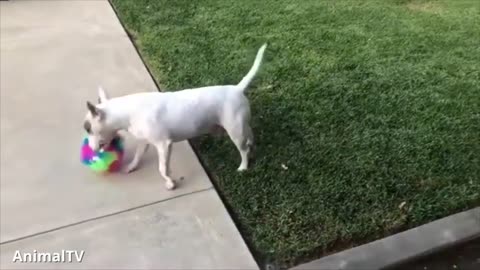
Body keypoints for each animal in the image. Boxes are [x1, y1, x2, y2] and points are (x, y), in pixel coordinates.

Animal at [84, 43, 268, 190]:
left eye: (88, 129)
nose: (91, 151)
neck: (127, 112)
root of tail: (237, 89)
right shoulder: (144, 142)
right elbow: (137, 156)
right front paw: (131, 167)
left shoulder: (165, 145)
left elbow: (162, 168)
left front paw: (170, 182)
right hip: (241, 125)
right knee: (250, 137)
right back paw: (252, 147)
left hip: (234, 131)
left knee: (243, 149)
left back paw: (243, 166)